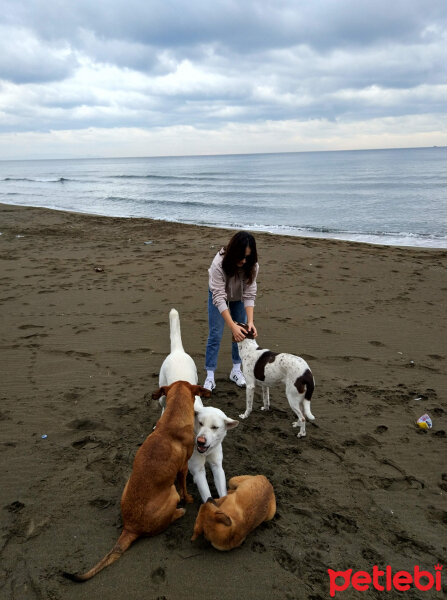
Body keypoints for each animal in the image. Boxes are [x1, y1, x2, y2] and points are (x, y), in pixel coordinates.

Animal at [63, 380, 212, 580]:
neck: (172, 418)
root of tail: (130, 528)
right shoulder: (183, 468)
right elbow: (183, 487)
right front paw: (187, 498)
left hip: (127, 487)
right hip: (171, 494)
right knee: (170, 514)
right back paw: (179, 511)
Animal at [159, 310, 240, 502]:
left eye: (215, 427)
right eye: (200, 423)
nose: (201, 440)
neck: (205, 451)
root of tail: (178, 351)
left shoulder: (218, 466)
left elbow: (222, 490)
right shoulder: (198, 470)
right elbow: (207, 495)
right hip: (162, 394)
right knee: (162, 406)